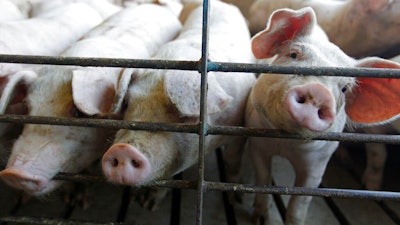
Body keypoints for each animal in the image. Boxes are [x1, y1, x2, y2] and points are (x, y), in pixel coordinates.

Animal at [101, 0, 255, 207]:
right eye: (126, 103)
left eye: (183, 115)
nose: (122, 150)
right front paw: (147, 203)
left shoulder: (238, 129)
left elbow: (233, 160)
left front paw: (238, 200)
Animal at [242, 7, 400, 225]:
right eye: (293, 54)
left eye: (344, 88)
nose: (318, 91)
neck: (286, 144)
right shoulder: (257, 144)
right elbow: (263, 180)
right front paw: (258, 218)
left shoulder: (317, 164)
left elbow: (299, 204)